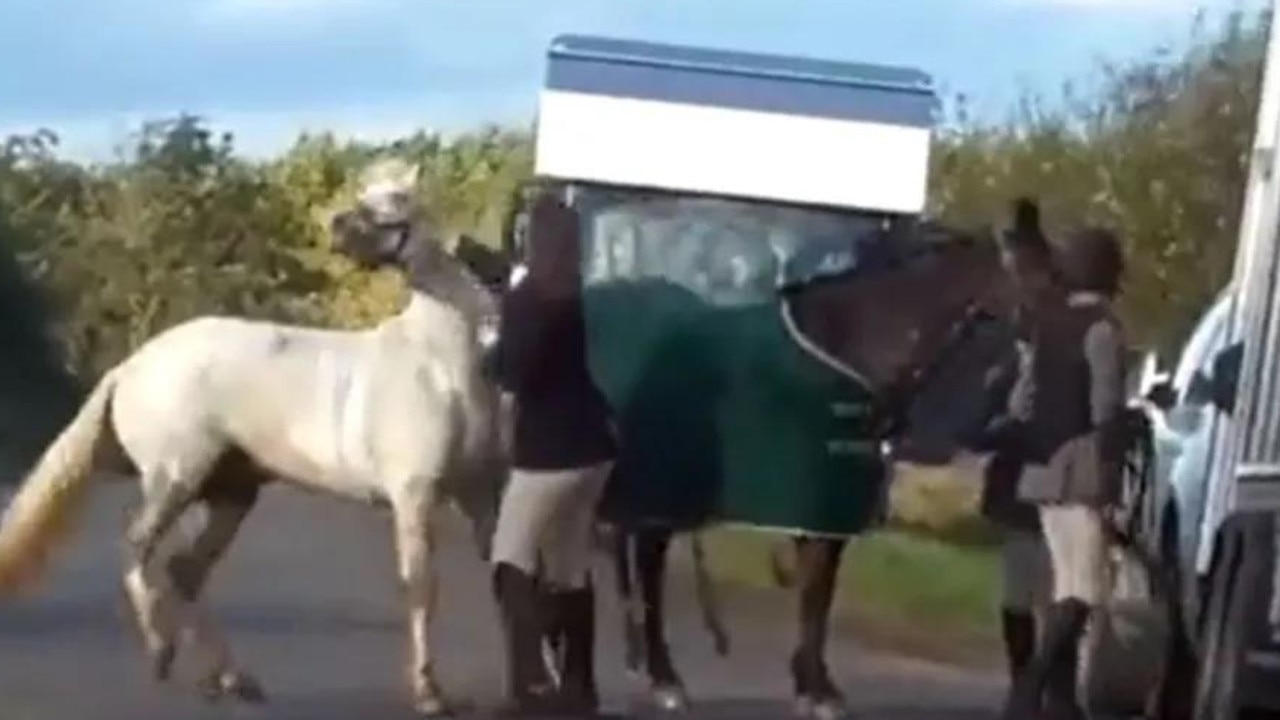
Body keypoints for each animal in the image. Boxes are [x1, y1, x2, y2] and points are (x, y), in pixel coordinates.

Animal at [0, 159, 504, 712]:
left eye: (397, 200)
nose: (338, 228)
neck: (440, 363)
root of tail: (129, 367)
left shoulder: (480, 495)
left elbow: (506, 576)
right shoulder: (414, 496)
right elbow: (420, 588)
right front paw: (429, 691)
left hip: (231, 494)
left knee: (184, 569)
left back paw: (230, 679)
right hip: (176, 478)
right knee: (139, 547)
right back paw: (162, 651)